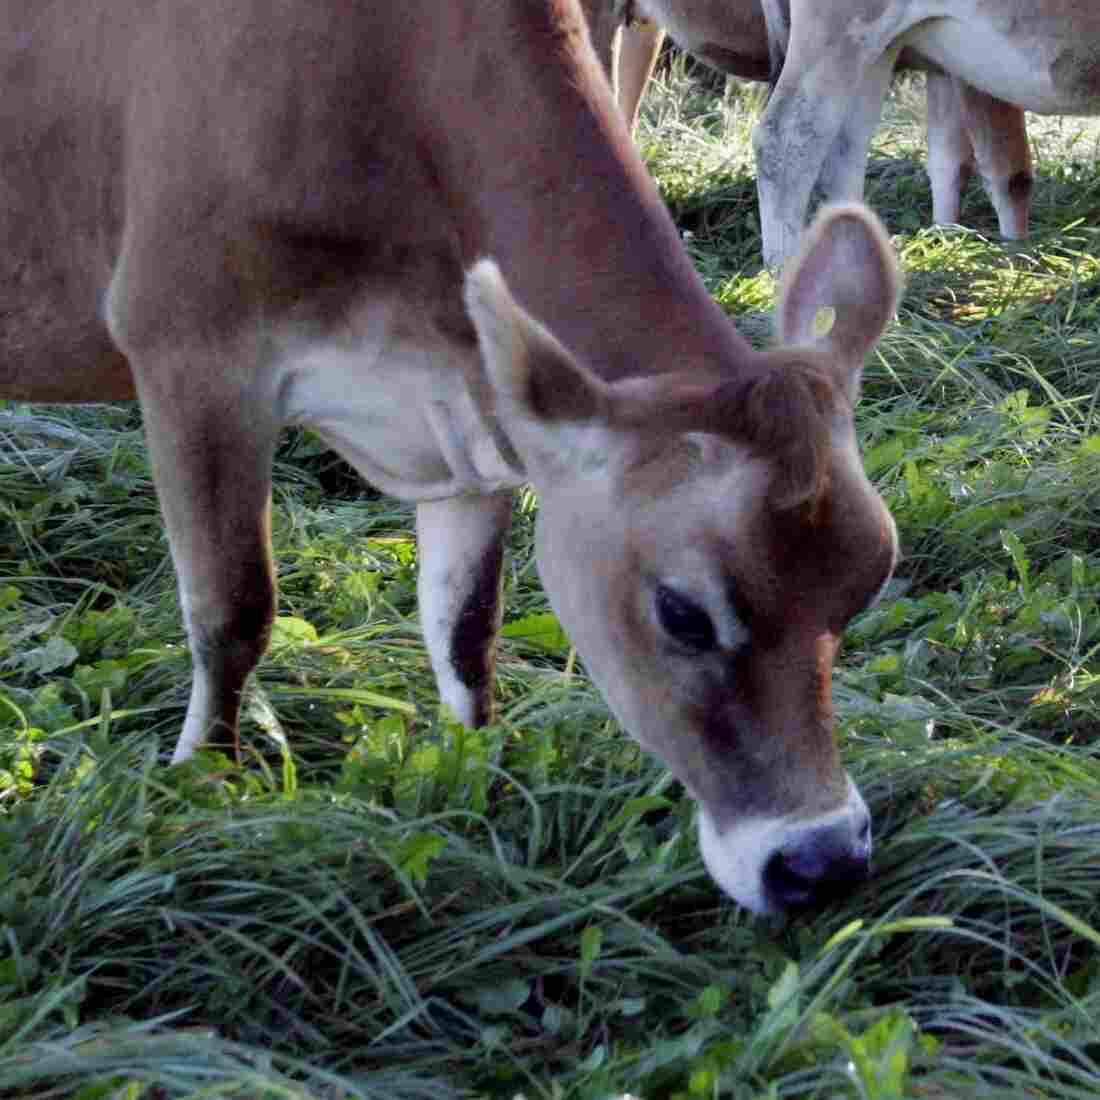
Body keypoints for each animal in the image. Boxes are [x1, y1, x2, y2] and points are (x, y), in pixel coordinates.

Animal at [0, 0, 900, 915]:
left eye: (867, 584)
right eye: (682, 612)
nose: (823, 861)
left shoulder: (472, 418)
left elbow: (466, 627)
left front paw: (476, 777)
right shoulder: (188, 351)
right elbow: (233, 611)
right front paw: (206, 788)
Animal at [580, 0, 1032, 247]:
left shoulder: (944, 65)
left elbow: (948, 157)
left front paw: (946, 236)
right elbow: (1009, 171)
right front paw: (1015, 253)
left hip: (641, 30)